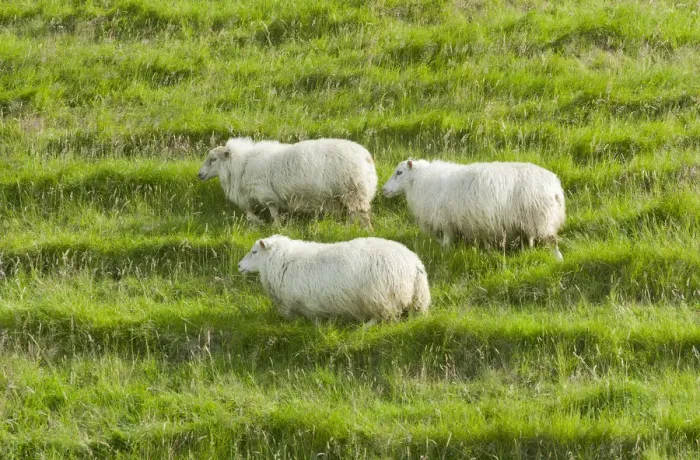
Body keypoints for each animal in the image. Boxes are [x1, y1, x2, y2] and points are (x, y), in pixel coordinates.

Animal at [198, 137, 378, 229]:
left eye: (213, 159)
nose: (199, 174)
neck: (242, 164)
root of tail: (366, 157)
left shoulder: (265, 193)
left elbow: (271, 211)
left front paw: (274, 226)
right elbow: (247, 211)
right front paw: (260, 222)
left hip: (354, 191)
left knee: (361, 215)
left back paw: (362, 230)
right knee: (355, 214)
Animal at [237, 235, 431, 324]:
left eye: (254, 252)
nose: (239, 266)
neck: (282, 261)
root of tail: (414, 263)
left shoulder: (306, 305)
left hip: (382, 297)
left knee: (383, 318)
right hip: (416, 300)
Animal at [382, 159, 566, 260]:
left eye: (399, 172)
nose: (383, 190)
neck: (421, 181)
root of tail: (556, 189)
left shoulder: (445, 222)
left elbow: (446, 241)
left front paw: (445, 253)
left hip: (541, 218)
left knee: (553, 242)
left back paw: (559, 260)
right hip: (532, 221)